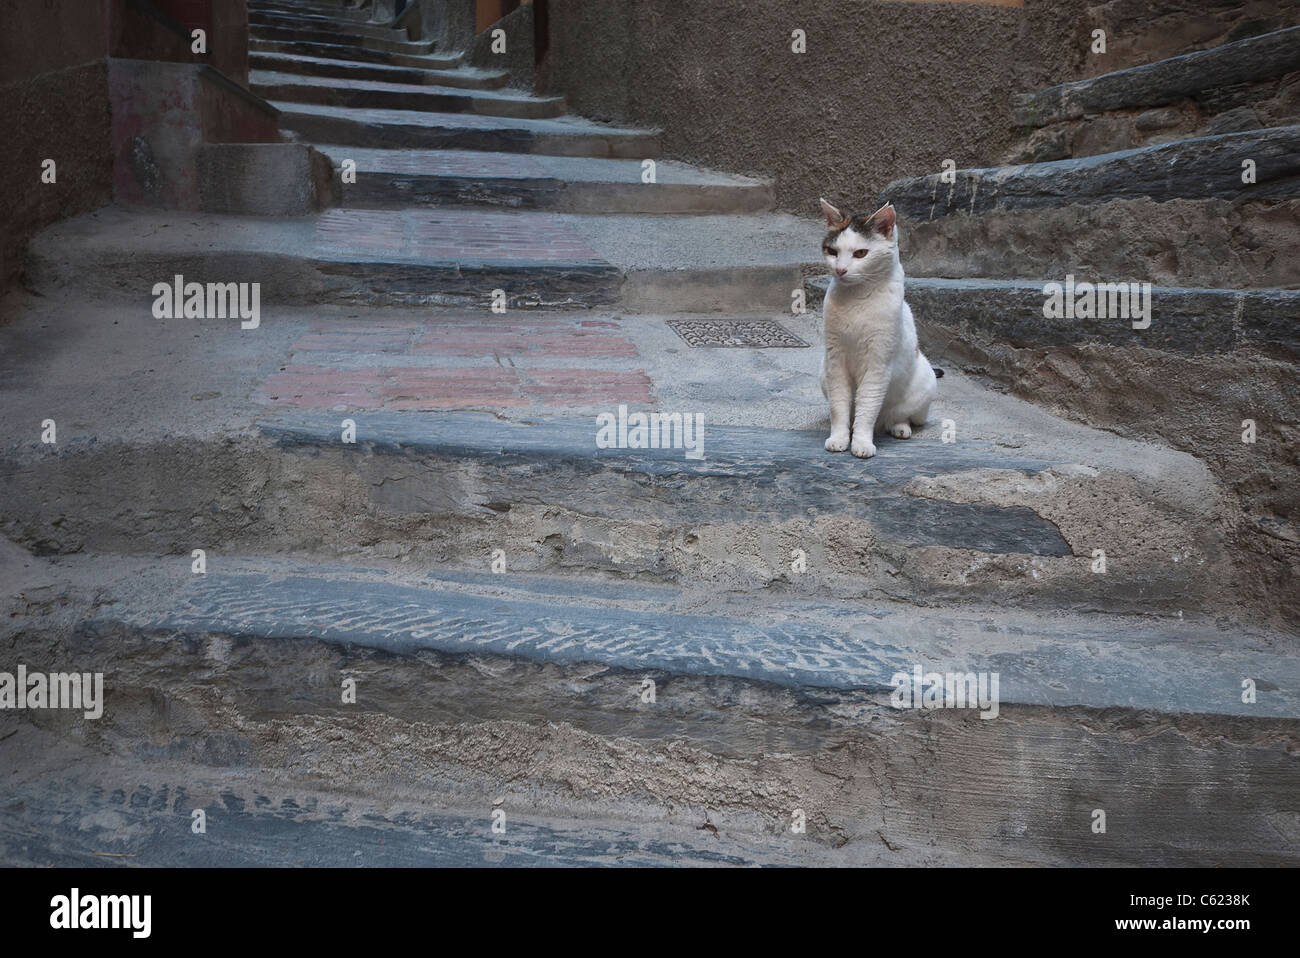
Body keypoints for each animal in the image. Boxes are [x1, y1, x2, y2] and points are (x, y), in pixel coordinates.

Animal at [816, 197, 941, 460]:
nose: (840, 270)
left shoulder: (877, 363)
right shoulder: (835, 360)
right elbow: (839, 406)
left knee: (898, 416)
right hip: (823, 372)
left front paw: (861, 443)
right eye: (832, 252)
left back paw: (900, 428)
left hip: (923, 385)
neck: (856, 300)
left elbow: (867, 406)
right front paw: (839, 437)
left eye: (861, 253)